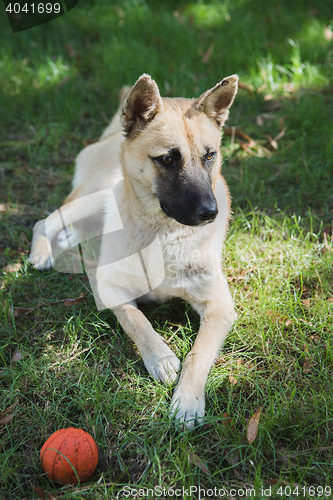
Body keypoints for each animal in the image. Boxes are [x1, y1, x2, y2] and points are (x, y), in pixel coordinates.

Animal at [27, 72, 236, 428]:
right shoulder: (108, 289)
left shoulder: (220, 306)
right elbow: (135, 320)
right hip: (94, 196)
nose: (210, 213)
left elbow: (199, 354)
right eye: (167, 159)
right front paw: (161, 358)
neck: (162, 235)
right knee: (46, 221)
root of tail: (114, 135)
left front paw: (187, 401)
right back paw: (42, 252)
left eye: (210, 155)